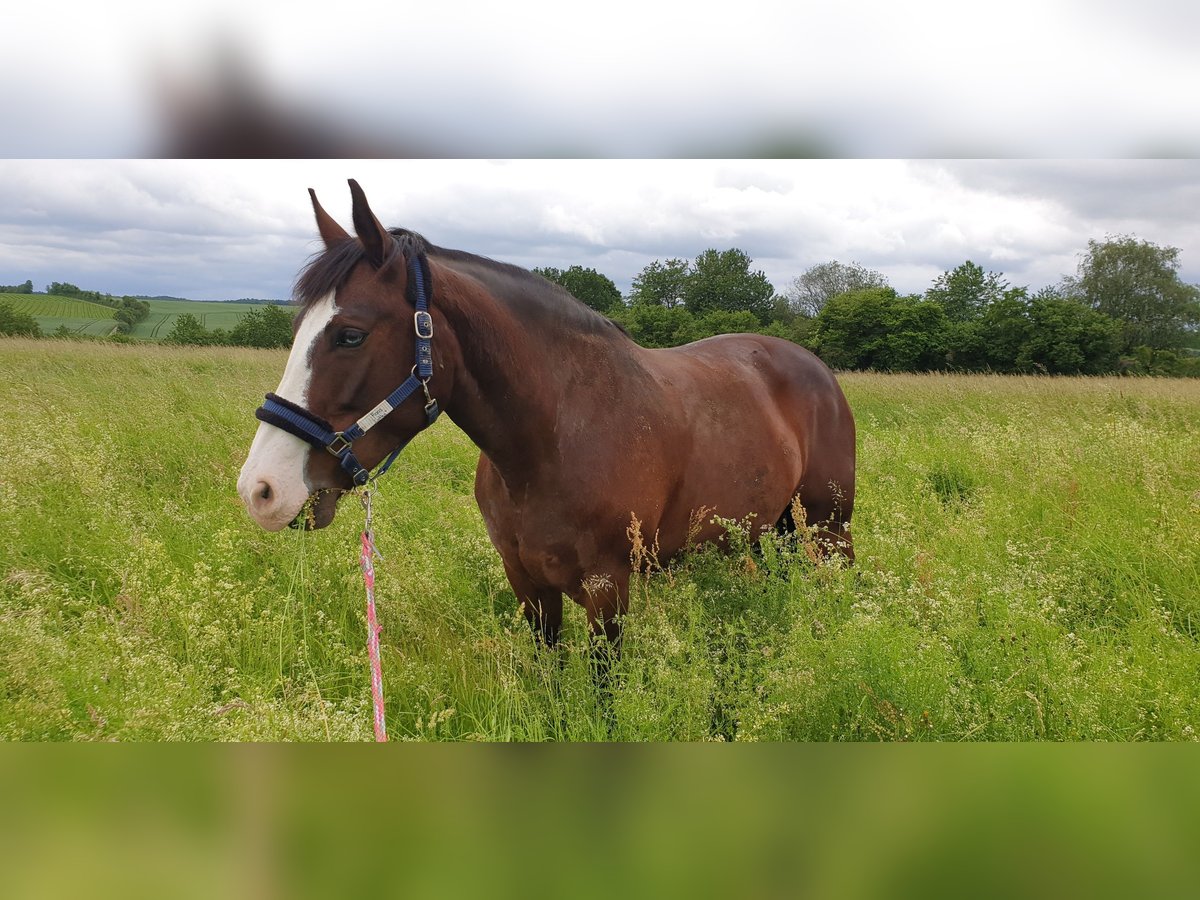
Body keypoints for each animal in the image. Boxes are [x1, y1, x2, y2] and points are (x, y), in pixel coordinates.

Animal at [236, 177, 854, 657]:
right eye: (296, 328)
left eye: (350, 334)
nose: (261, 489)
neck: (554, 438)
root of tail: (812, 365)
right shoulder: (529, 585)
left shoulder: (608, 590)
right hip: (761, 531)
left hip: (830, 527)